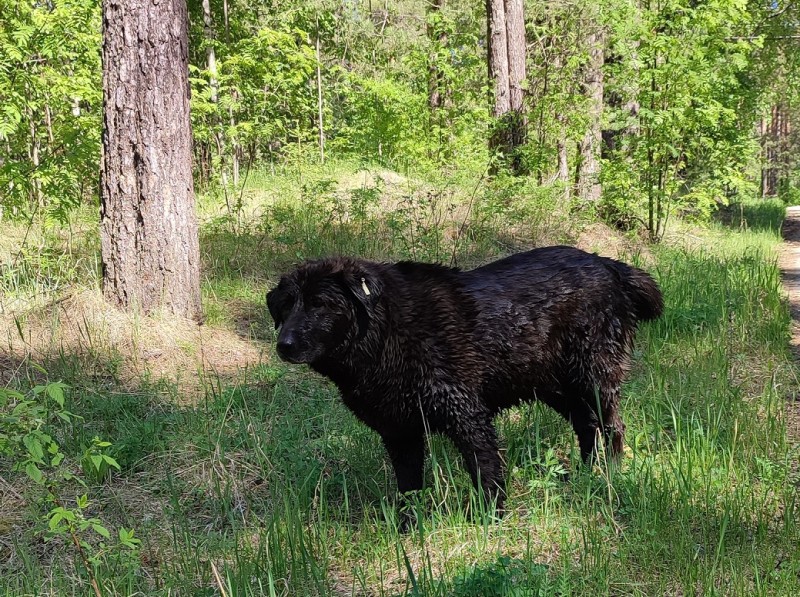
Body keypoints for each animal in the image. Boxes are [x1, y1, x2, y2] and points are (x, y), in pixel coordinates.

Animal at [268, 247, 664, 516]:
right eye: (286, 305)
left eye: (322, 304)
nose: (284, 345)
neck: (385, 333)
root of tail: (610, 264)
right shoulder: (400, 432)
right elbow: (408, 488)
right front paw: (408, 530)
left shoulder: (466, 414)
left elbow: (485, 471)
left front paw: (492, 520)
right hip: (554, 385)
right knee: (586, 425)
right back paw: (584, 475)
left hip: (594, 376)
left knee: (612, 426)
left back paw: (610, 474)